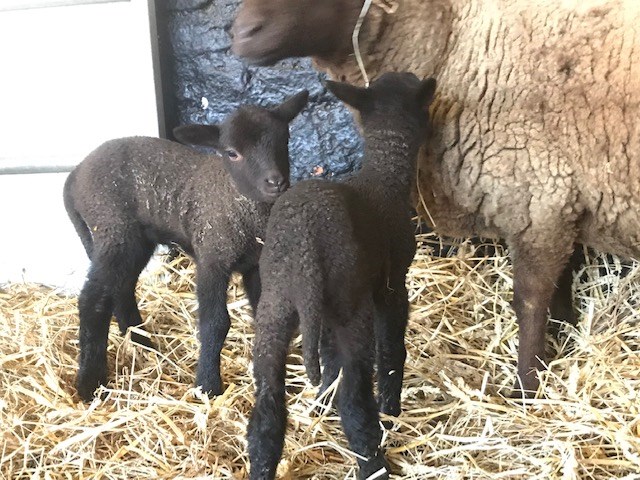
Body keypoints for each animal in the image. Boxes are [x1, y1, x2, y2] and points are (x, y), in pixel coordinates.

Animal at [63, 91, 308, 402]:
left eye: (284, 140)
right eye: (232, 152)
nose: (276, 182)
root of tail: (74, 175)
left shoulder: (255, 264)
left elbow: (266, 316)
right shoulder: (212, 256)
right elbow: (215, 323)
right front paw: (208, 386)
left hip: (132, 240)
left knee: (121, 288)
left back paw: (143, 343)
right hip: (112, 228)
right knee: (92, 300)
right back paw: (90, 384)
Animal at [232, 0, 640, 396]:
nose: (241, 35)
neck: (454, 38)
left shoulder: (538, 195)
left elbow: (530, 300)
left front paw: (527, 385)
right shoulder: (559, 200)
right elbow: (559, 286)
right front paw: (563, 337)